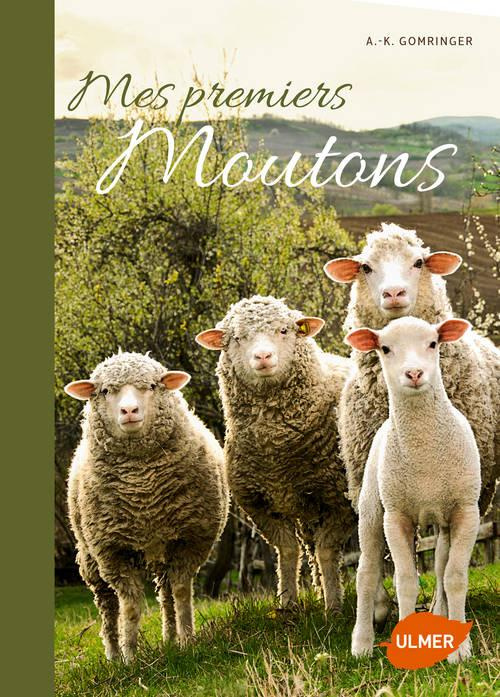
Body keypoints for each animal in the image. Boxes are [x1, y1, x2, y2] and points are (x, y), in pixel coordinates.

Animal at [64, 351, 229, 661]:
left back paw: (170, 639)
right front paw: (130, 657)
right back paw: (113, 654)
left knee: (165, 594)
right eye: (105, 391)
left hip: (163, 549)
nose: (129, 411)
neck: (144, 490)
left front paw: (188, 641)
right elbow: (129, 606)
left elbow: (181, 593)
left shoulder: (189, 541)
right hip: (90, 556)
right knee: (107, 605)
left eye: (152, 386)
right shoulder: (113, 552)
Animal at [196, 295, 356, 610]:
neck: (276, 451)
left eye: (284, 330)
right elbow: (288, 551)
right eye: (237, 338)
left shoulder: (339, 500)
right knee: (310, 548)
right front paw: (288, 605)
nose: (263, 357)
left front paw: (334, 607)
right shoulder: (260, 505)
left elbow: (328, 550)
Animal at [347, 316, 480, 663]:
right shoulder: (396, 517)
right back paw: (361, 642)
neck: (425, 452)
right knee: (366, 572)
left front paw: (459, 650)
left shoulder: (466, 512)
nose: (415, 373)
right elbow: (405, 581)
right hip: (372, 508)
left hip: (441, 521)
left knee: (440, 565)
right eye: (385, 348)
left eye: (433, 343)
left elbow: (453, 578)